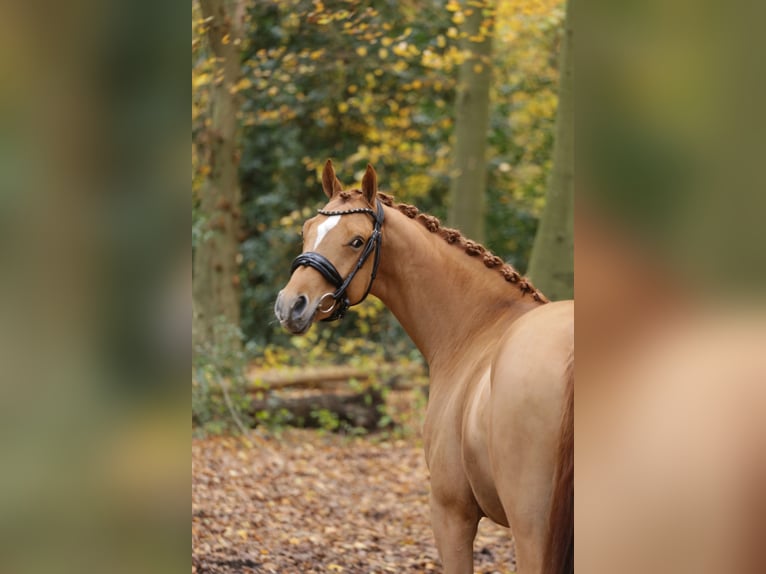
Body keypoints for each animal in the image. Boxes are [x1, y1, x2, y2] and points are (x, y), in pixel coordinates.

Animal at [276, 160, 576, 572]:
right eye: (306, 231)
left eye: (357, 241)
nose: (291, 305)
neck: (479, 327)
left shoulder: (451, 513)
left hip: (532, 530)